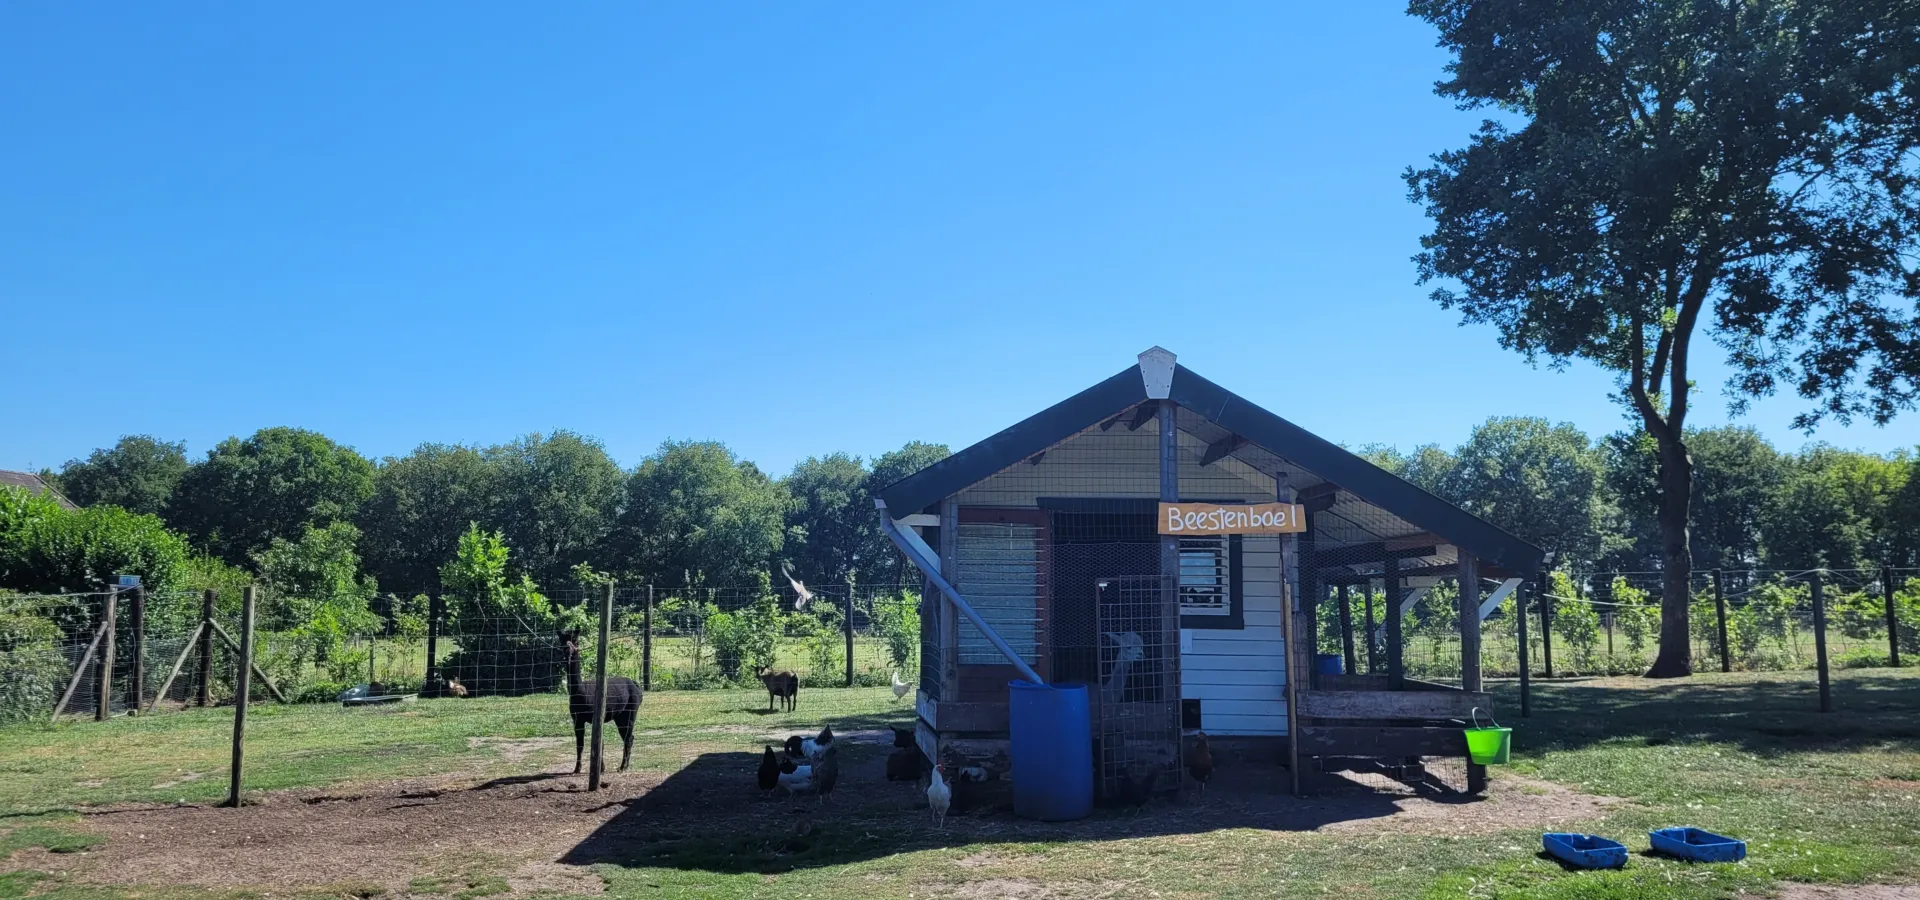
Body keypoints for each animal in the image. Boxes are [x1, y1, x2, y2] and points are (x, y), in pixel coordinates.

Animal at [560, 633, 641, 771]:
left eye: (575, 639)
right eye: (561, 640)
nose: (567, 648)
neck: (581, 692)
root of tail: (635, 683)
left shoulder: (596, 718)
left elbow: (599, 743)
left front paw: (601, 768)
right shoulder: (577, 719)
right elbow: (580, 744)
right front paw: (577, 769)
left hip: (631, 711)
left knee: (628, 738)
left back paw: (623, 767)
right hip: (620, 716)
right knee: (628, 737)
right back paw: (623, 765)